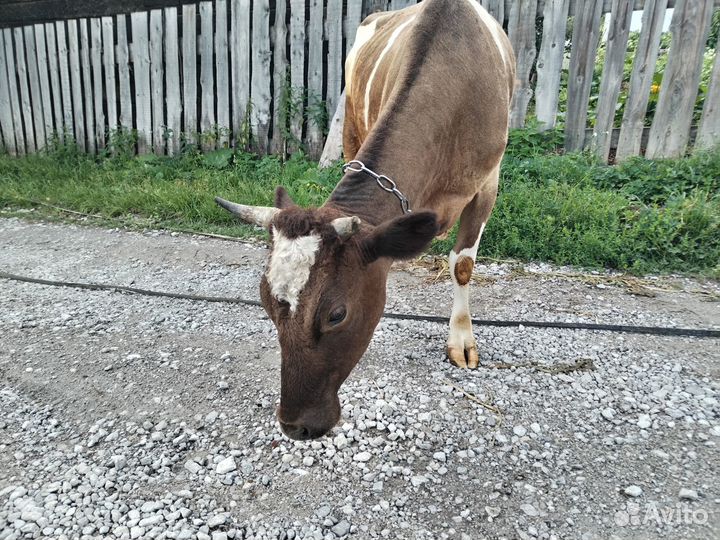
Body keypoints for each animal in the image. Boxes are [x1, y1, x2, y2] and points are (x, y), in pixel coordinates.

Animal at [216, 0, 515, 440]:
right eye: (267, 304)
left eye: (336, 314)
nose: (294, 425)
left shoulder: (488, 182)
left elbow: (462, 265)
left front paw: (461, 340)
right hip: (352, 126)